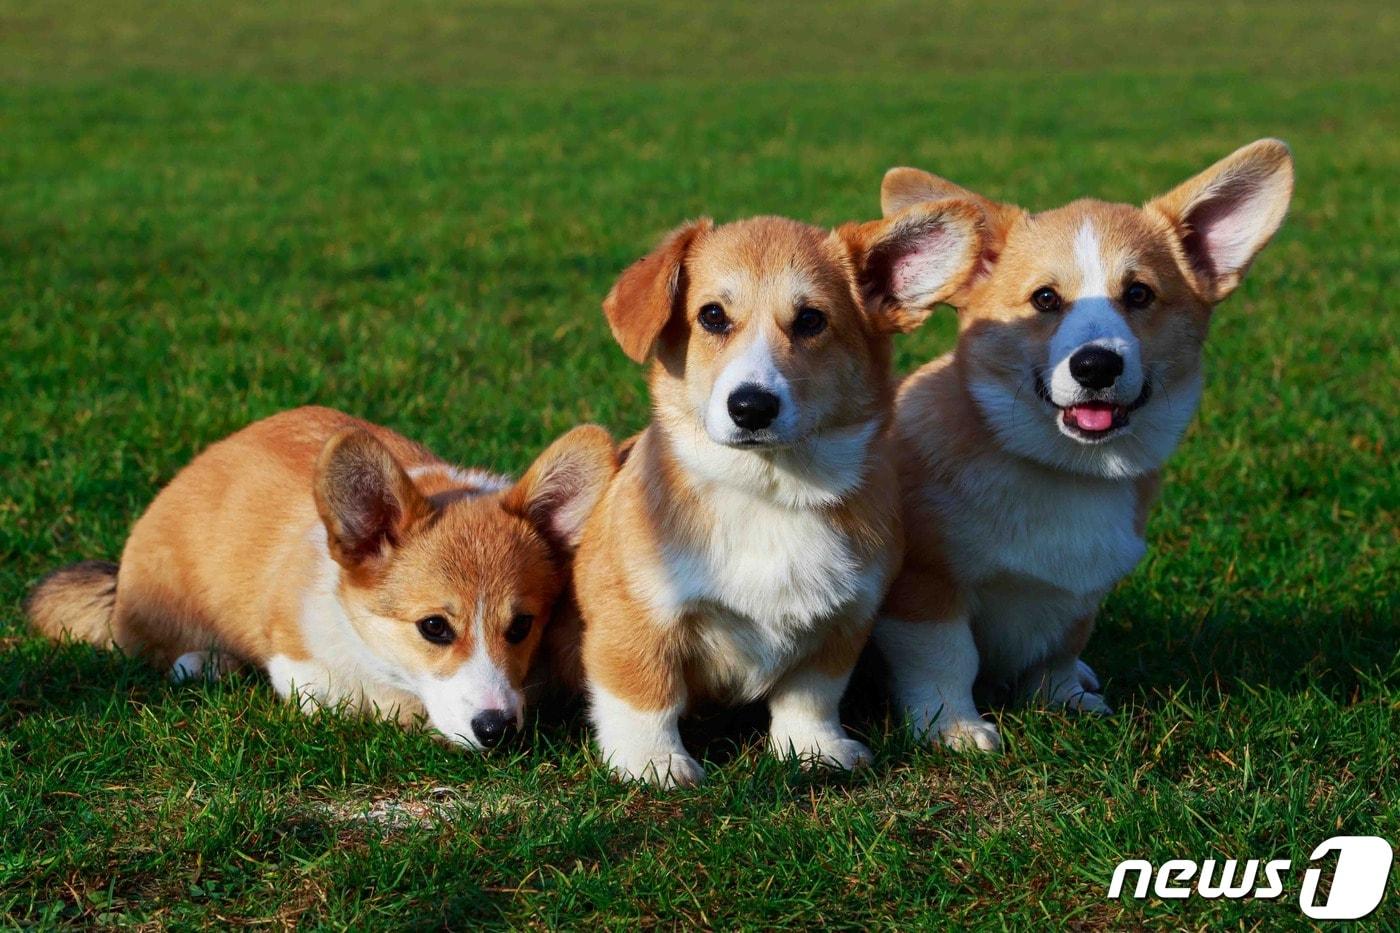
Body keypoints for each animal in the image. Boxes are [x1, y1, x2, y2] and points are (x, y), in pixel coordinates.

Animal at [573, 205, 983, 785]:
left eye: (811, 320)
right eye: (712, 316)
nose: (751, 406)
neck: (769, 492)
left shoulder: (843, 622)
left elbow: (809, 695)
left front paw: (814, 748)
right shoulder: (635, 615)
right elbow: (645, 695)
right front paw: (653, 763)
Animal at [874, 139, 1295, 749]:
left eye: (1138, 294)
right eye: (1046, 299)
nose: (1096, 365)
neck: (1068, 469)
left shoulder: (1080, 595)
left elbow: (1059, 653)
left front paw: (1064, 698)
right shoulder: (927, 585)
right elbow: (947, 660)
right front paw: (955, 728)